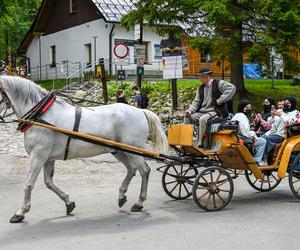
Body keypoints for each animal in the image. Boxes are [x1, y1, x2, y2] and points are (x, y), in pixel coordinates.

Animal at [0, 75, 169, 223]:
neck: (41, 116)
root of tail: (141, 111)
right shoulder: (47, 158)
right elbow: (49, 183)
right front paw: (68, 203)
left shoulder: (37, 156)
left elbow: (29, 184)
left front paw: (20, 212)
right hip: (119, 150)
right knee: (132, 169)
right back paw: (122, 196)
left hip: (134, 150)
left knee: (144, 171)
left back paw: (139, 203)